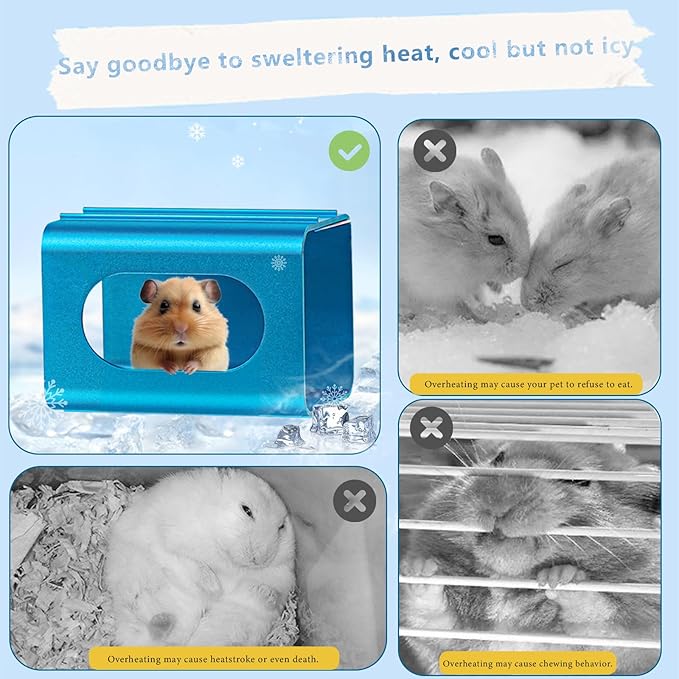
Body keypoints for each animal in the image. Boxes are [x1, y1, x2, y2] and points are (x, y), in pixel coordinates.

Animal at [105, 468, 296, 646]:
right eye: (246, 510)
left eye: (281, 527)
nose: (260, 560)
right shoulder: (168, 535)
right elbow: (179, 558)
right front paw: (214, 586)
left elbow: (261, 597)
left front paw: (264, 591)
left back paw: (162, 621)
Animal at [399, 147, 530, 317]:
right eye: (495, 239)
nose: (523, 271)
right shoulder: (432, 287)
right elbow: (460, 306)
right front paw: (482, 319)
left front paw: (495, 291)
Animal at [400, 441, 659, 675]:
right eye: (498, 459)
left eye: (580, 480)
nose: (500, 501)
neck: (509, 582)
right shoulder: (443, 638)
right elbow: (431, 616)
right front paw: (419, 569)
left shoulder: (635, 637)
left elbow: (600, 622)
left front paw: (559, 577)